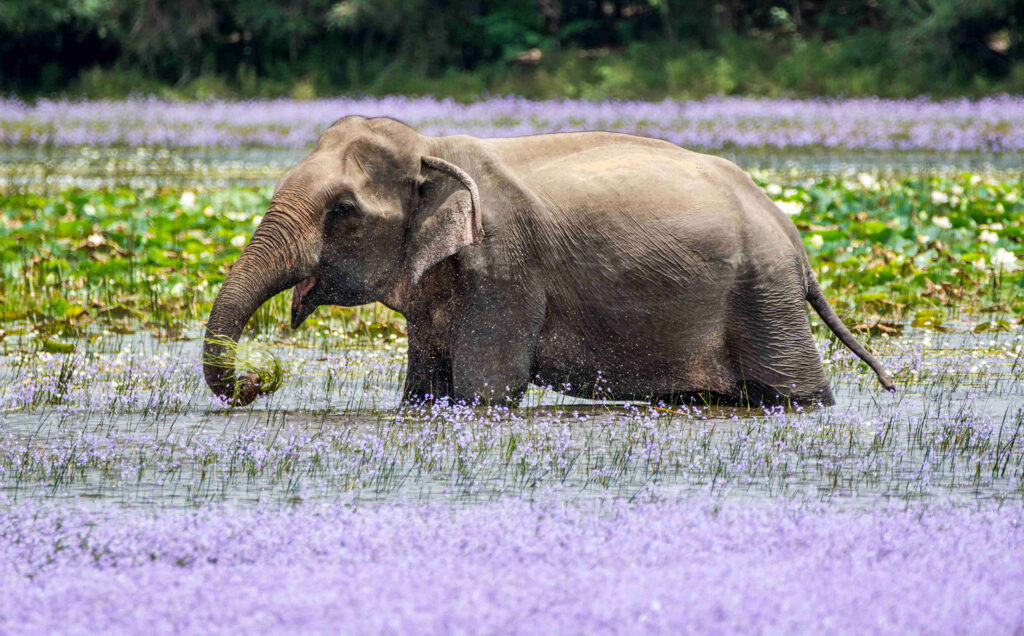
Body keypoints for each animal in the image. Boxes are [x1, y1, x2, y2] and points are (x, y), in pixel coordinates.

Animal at [203, 115, 892, 407]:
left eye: (343, 210)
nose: (262, 381)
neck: (432, 146)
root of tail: (794, 239)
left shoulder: (503, 271)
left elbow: (485, 391)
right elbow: (424, 392)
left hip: (764, 298)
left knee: (795, 391)